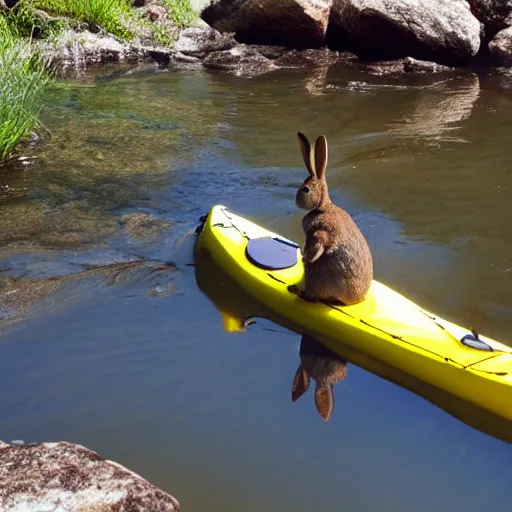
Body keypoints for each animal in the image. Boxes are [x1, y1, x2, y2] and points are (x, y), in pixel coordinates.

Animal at [286, 132, 374, 308]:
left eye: (305, 189)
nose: (297, 201)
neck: (323, 206)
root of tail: (355, 300)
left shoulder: (319, 231)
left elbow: (319, 242)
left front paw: (304, 256)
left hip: (316, 274)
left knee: (313, 295)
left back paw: (296, 290)